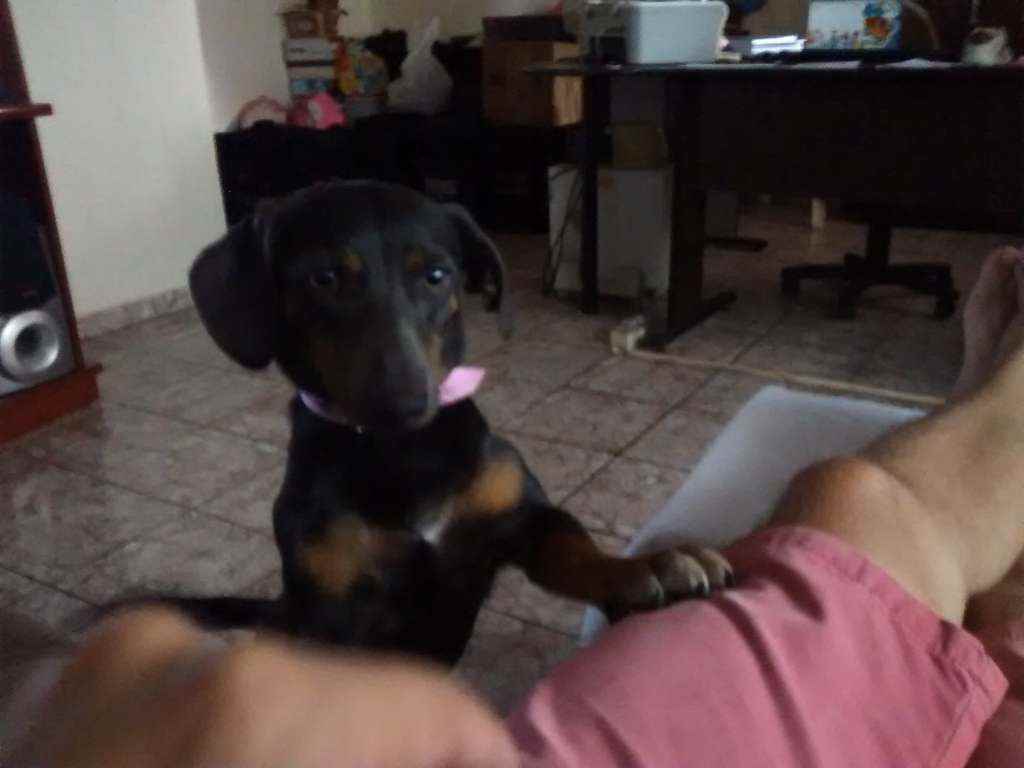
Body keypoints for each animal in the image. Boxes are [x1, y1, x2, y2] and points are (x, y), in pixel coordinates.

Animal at [161, 180, 732, 665]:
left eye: (436, 276)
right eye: (323, 278)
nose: (405, 401)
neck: (400, 453)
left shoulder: (521, 518)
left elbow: (572, 549)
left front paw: (647, 569)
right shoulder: (331, 605)